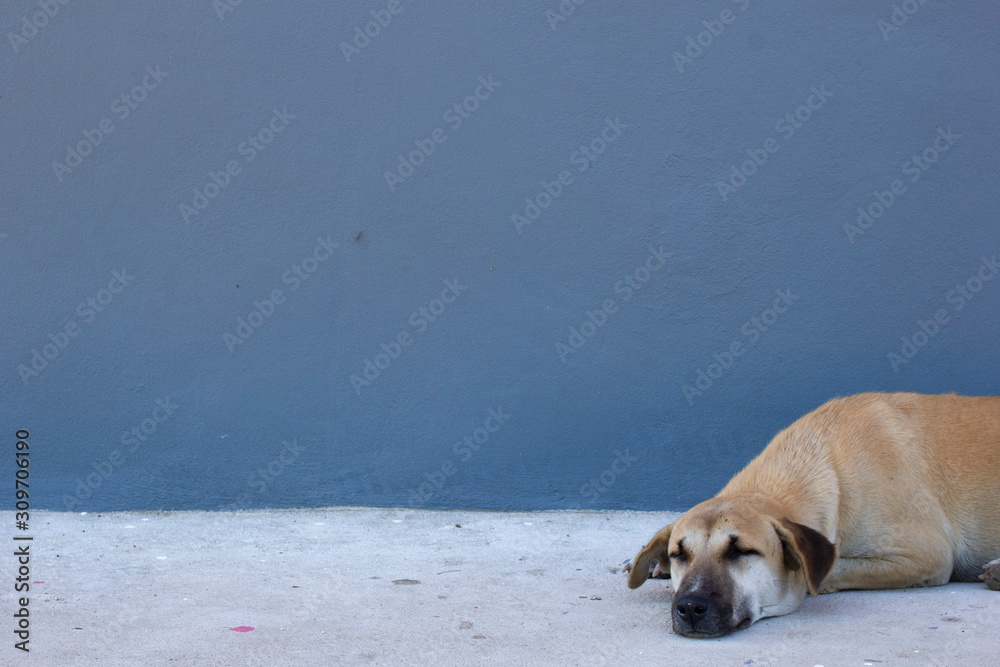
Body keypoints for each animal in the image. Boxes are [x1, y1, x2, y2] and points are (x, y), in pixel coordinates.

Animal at [624, 394, 1000, 640]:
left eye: (741, 551)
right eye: (679, 554)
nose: (689, 607)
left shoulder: (927, 555)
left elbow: (829, 569)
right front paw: (652, 562)